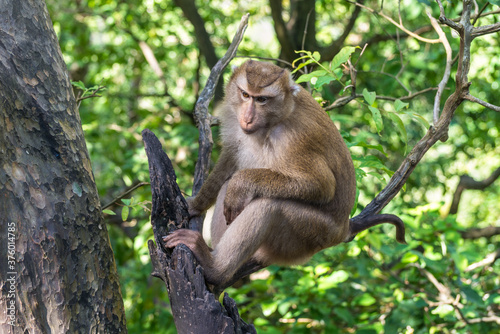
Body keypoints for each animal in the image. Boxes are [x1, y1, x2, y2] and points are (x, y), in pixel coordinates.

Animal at [164, 60, 406, 288]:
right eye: (245, 94)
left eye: (262, 99)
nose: (248, 118)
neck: (274, 120)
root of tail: (344, 228)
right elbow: (230, 161)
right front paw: (196, 204)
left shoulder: (296, 139)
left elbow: (321, 185)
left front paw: (241, 183)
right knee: (229, 188)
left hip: (312, 235)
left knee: (269, 205)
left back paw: (215, 268)